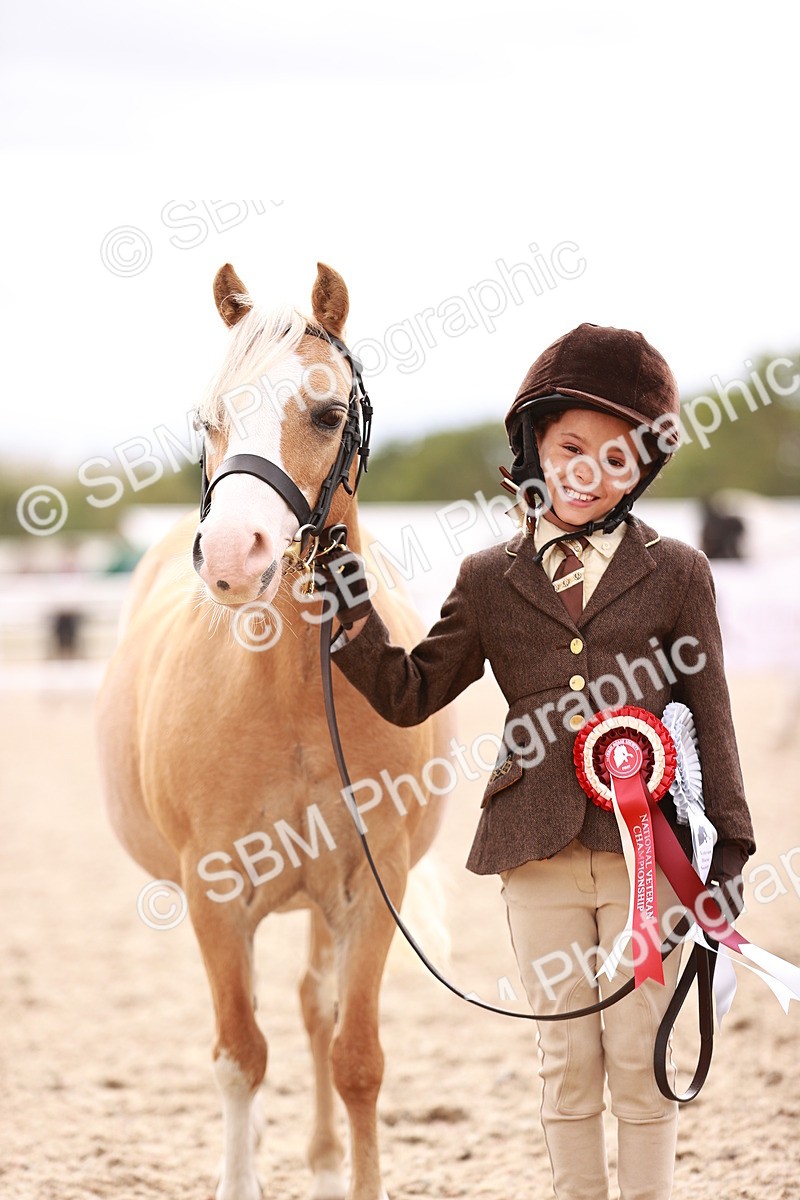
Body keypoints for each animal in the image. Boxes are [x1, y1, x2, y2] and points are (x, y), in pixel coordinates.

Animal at [96, 262, 452, 1200]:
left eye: (327, 415)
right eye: (207, 420)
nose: (229, 556)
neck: (290, 693)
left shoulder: (373, 888)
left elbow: (356, 1057)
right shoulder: (216, 896)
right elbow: (239, 1057)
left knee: (313, 1011)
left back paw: (324, 1162)